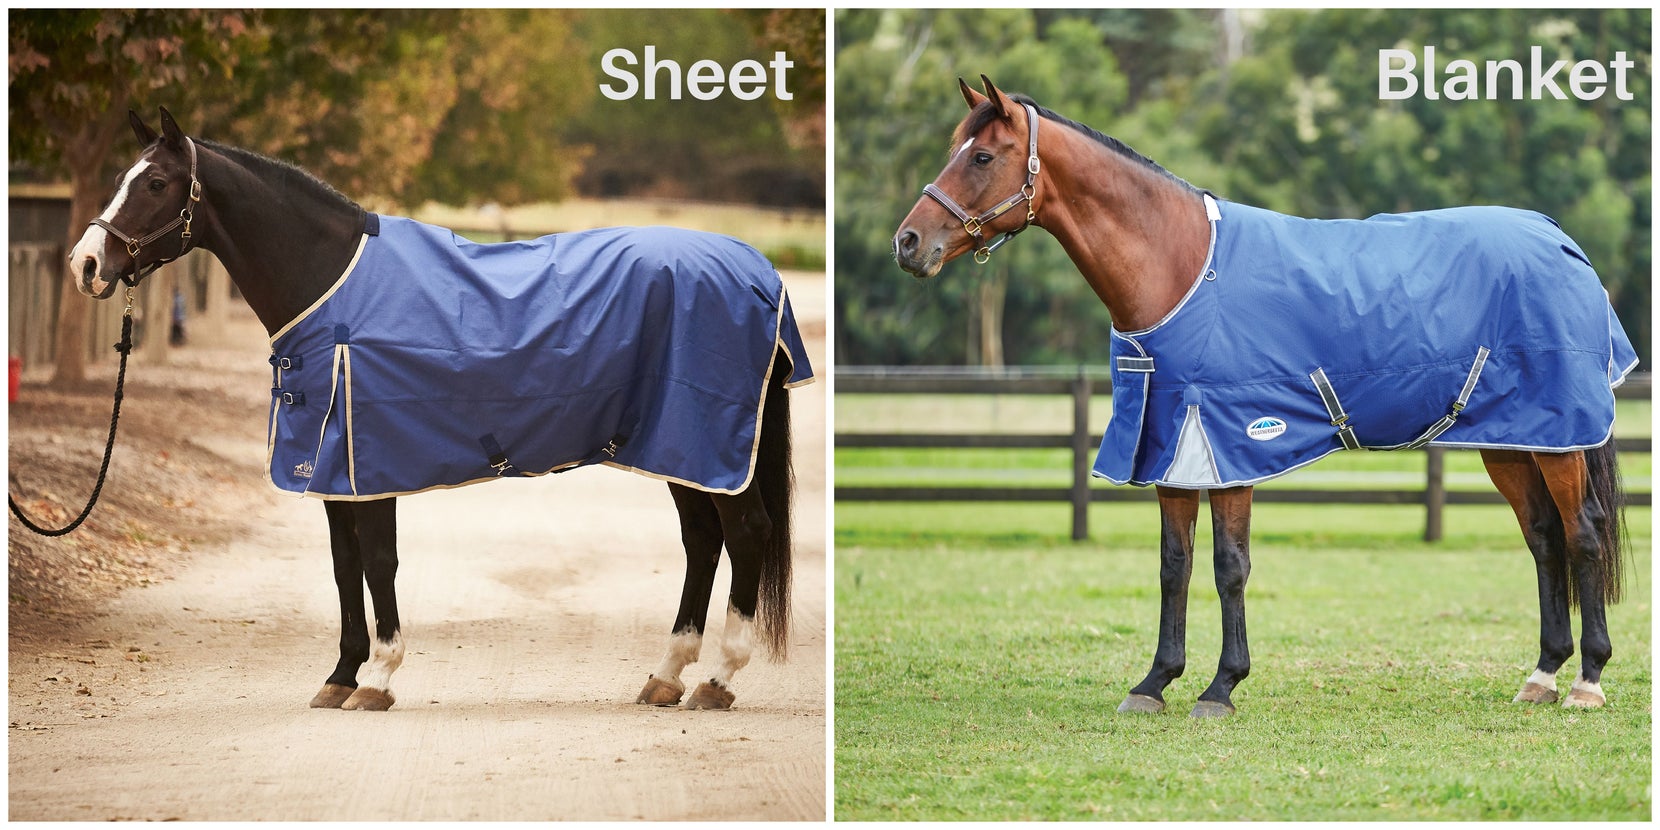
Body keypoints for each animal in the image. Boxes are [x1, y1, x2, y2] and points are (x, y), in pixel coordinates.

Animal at [68, 107, 814, 712]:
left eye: (154, 183)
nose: (85, 264)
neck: (332, 283)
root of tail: (759, 273)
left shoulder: (370, 464)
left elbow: (378, 562)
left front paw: (378, 679)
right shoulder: (335, 471)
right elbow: (344, 566)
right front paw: (340, 676)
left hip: (708, 442)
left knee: (745, 531)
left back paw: (717, 680)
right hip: (676, 447)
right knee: (703, 540)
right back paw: (666, 676)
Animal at [893, 76, 1636, 718]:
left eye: (982, 155)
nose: (908, 243)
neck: (1181, 267)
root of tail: (1560, 239)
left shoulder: (1230, 444)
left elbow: (1229, 567)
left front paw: (1221, 687)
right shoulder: (1170, 445)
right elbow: (1173, 567)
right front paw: (1154, 682)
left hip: (1558, 437)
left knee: (1582, 532)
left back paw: (1587, 681)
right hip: (1512, 438)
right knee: (1543, 537)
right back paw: (1542, 674)